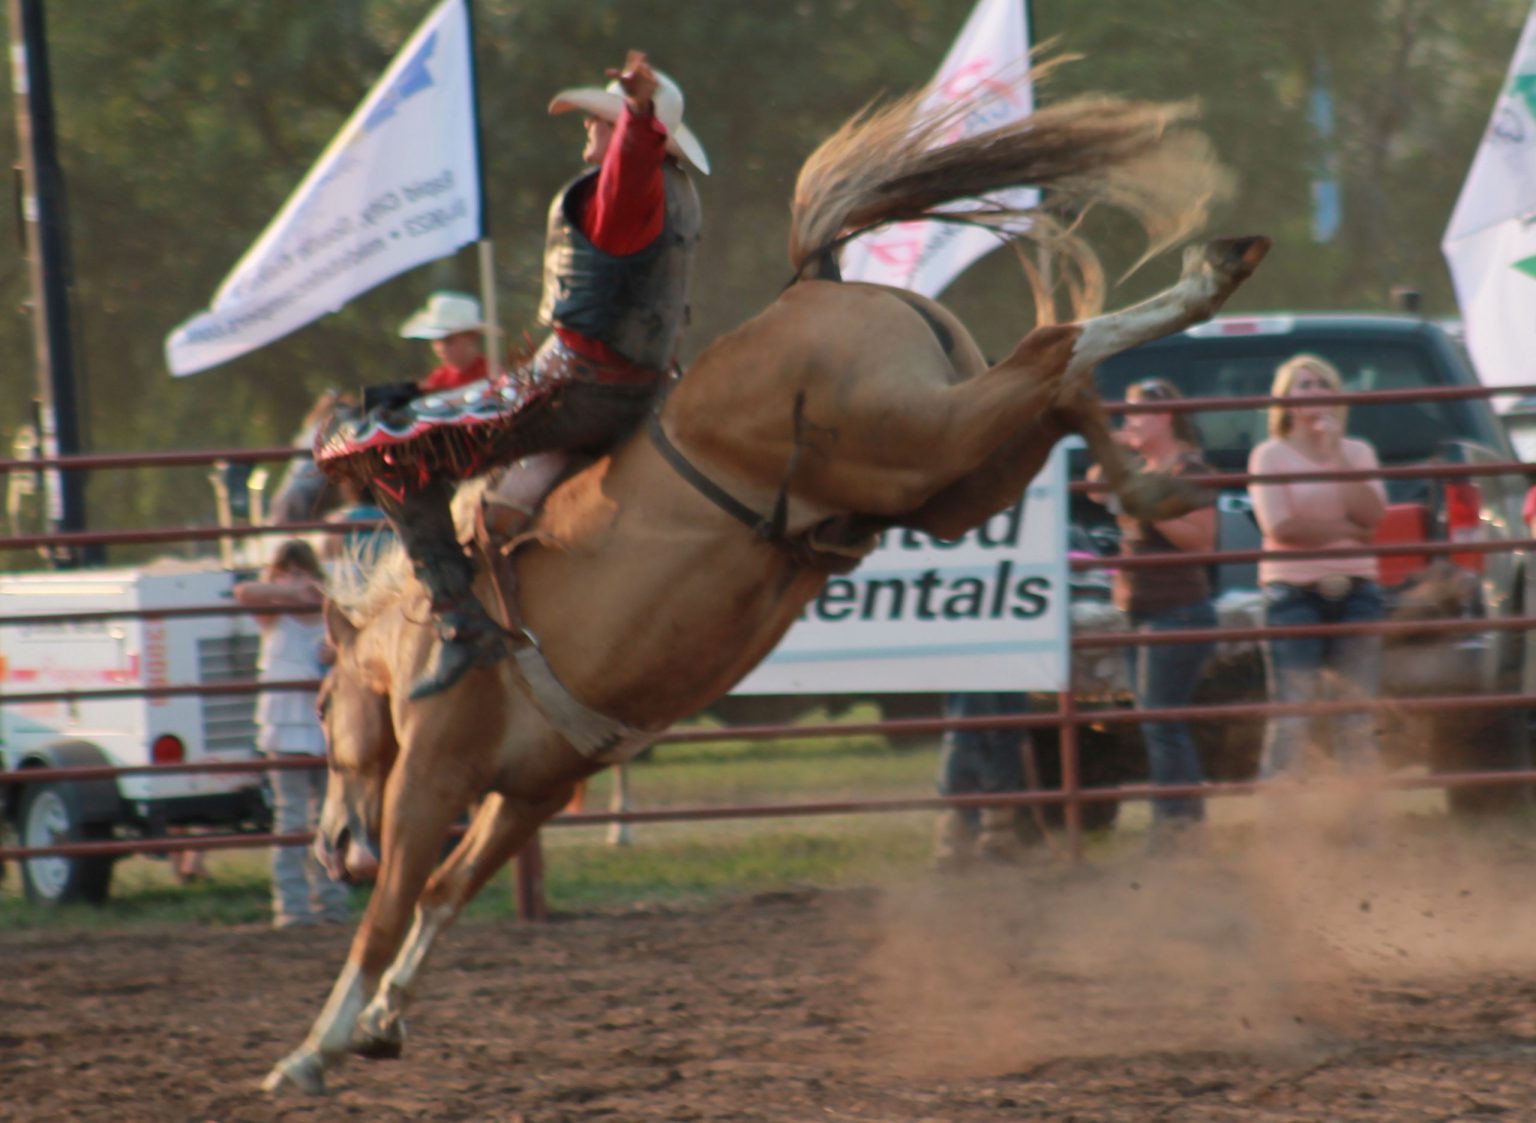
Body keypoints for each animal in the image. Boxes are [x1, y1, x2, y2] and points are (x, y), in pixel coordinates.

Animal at [264, 74, 1265, 1093]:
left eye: (320, 704)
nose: (330, 845)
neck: (418, 635)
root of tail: (819, 285)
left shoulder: (430, 775)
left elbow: (391, 907)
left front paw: (312, 1048)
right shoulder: (535, 787)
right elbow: (448, 888)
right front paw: (379, 1022)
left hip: (914, 435)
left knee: (1057, 345)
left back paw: (1213, 272)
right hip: (940, 477)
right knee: (1060, 390)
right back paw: (1156, 476)